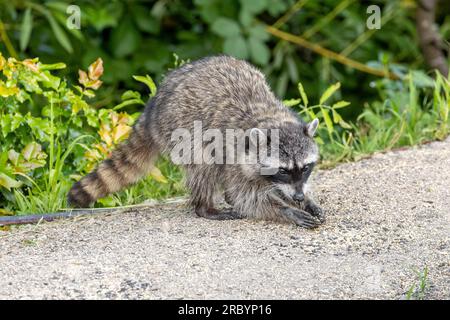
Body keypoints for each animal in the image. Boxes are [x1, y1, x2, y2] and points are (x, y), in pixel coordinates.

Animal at [68, 56, 326, 229]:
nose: (298, 197)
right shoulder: (233, 153)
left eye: (305, 168)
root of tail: (153, 107)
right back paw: (204, 207)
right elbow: (248, 198)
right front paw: (285, 211)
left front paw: (305, 200)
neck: (269, 117)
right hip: (182, 130)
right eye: (282, 170)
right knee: (204, 166)